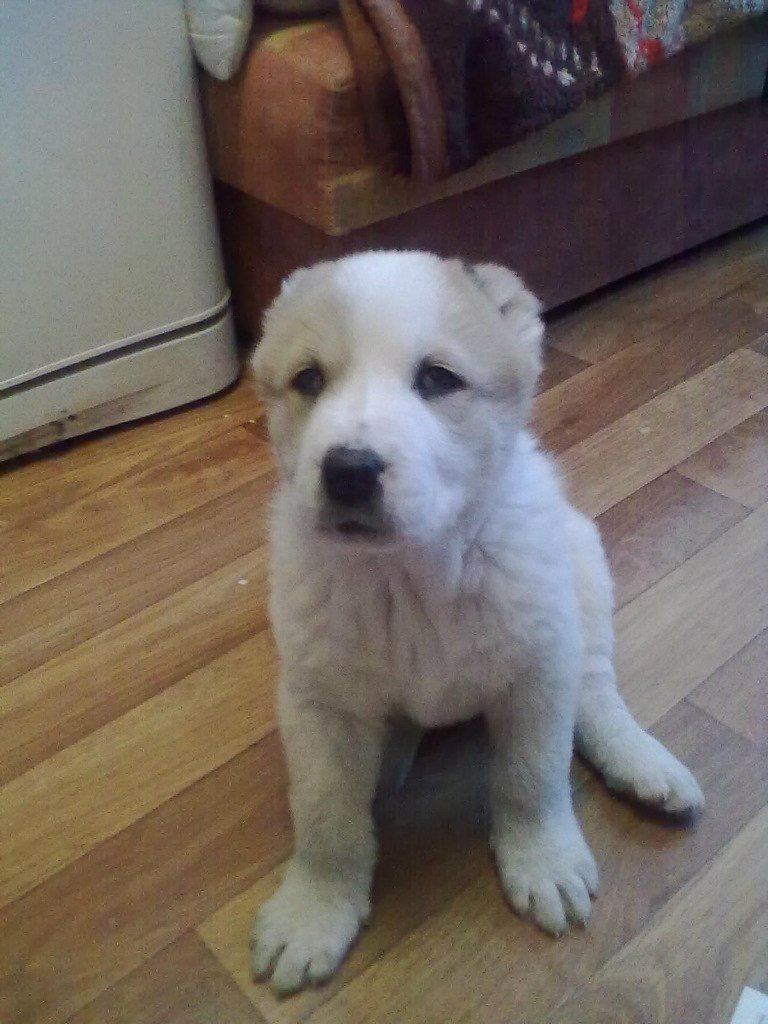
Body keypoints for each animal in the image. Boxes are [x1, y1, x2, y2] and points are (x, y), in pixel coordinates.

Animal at [249, 252, 704, 994]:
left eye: (439, 379)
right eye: (309, 380)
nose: (348, 472)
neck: (412, 575)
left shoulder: (536, 673)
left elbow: (532, 778)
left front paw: (542, 858)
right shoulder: (319, 704)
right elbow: (324, 818)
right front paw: (314, 910)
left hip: (581, 568)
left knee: (595, 691)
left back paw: (640, 762)